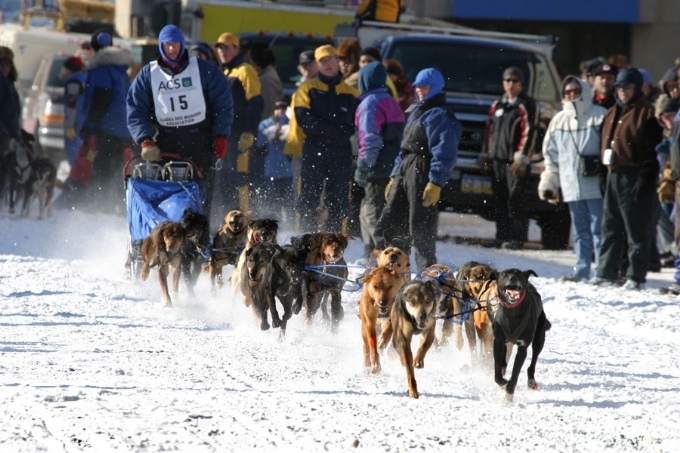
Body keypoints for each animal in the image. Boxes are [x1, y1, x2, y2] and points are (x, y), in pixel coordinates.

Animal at [494, 266, 552, 400]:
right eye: (505, 274)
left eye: (519, 274)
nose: (512, 278)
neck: (512, 313)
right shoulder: (498, 342)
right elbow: (497, 373)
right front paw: (503, 383)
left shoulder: (522, 348)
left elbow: (515, 373)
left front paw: (509, 394)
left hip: (539, 339)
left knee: (533, 362)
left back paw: (531, 381)